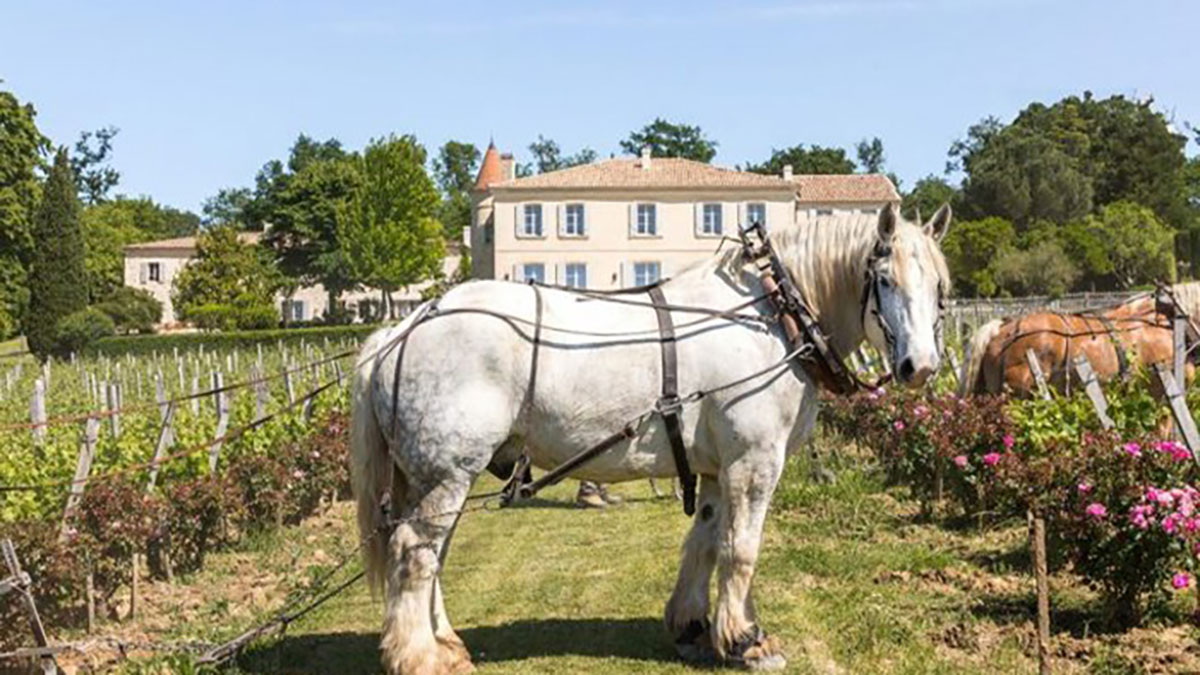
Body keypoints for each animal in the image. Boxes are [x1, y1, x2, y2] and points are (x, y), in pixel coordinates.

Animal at [350, 201, 950, 667]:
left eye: (940, 288)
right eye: (885, 280)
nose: (920, 366)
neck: (774, 316)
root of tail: (404, 327)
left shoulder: (718, 467)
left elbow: (705, 542)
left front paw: (694, 628)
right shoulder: (754, 461)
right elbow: (741, 548)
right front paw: (746, 640)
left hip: (433, 477)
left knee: (432, 555)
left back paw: (446, 644)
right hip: (446, 474)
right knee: (415, 553)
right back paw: (421, 657)